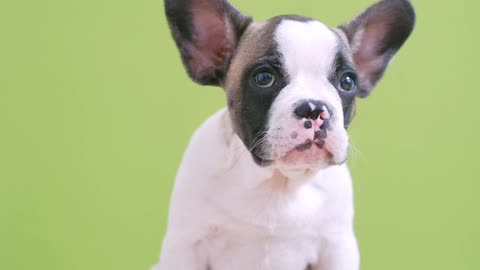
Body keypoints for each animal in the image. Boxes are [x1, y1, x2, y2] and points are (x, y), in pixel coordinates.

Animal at [156, 0, 414, 268]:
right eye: (263, 78)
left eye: (347, 82)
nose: (314, 108)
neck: (278, 182)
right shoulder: (187, 243)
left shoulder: (337, 246)